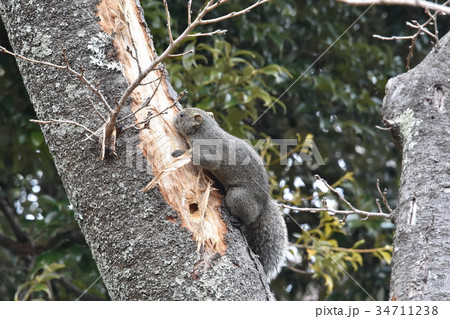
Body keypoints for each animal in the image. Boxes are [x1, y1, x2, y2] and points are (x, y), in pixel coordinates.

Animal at [174, 107, 286, 280]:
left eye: (181, 115)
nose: (173, 118)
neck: (205, 130)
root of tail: (263, 202)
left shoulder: (210, 150)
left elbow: (206, 160)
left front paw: (181, 152)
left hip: (238, 196)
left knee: (247, 218)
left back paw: (238, 220)